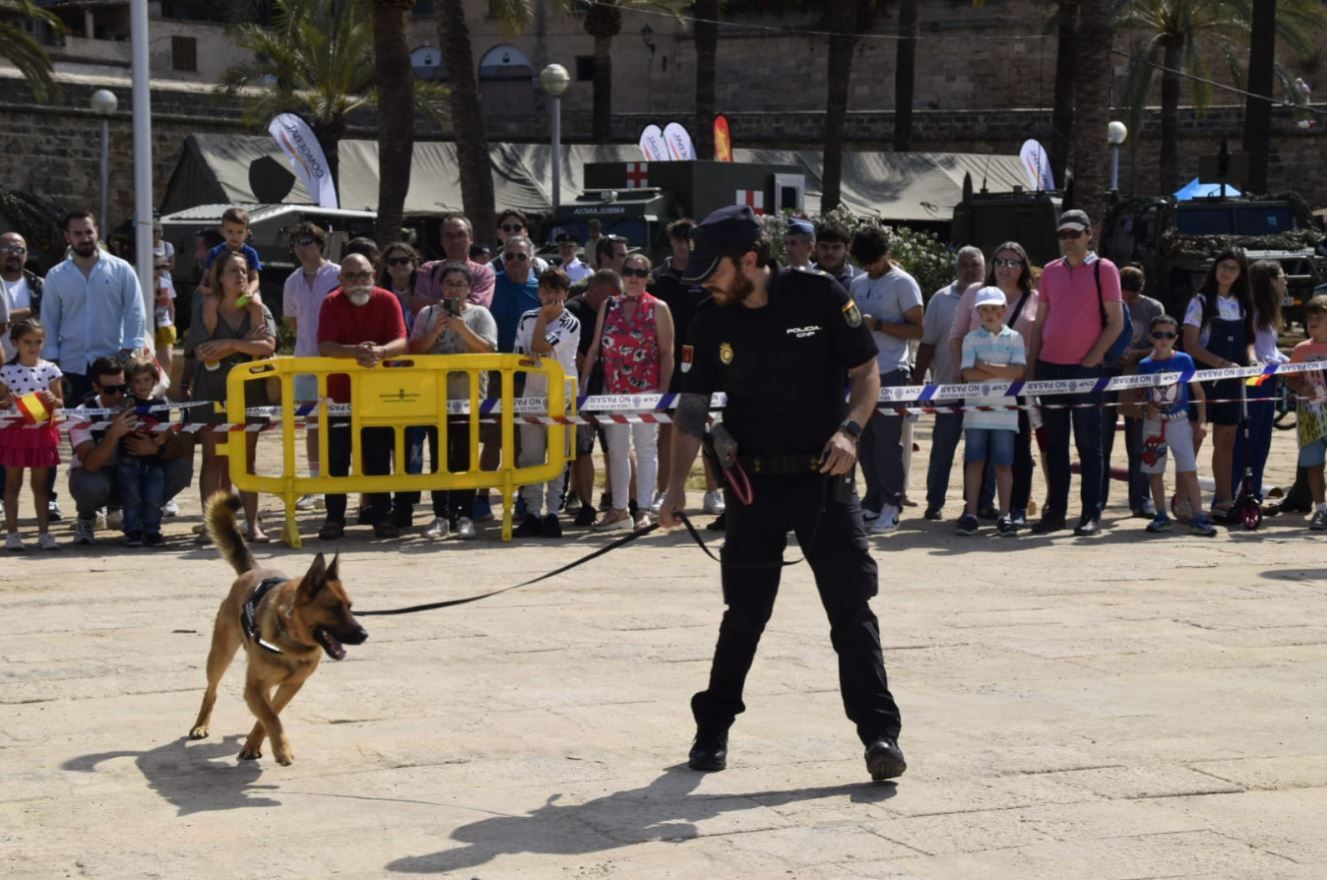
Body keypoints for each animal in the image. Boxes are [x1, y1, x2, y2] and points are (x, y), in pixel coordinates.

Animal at [184, 491, 366, 769]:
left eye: (350, 607)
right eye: (334, 608)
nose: (363, 635)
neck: (290, 639)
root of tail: (253, 570)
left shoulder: (291, 686)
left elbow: (270, 714)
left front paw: (255, 744)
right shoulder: (253, 688)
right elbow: (271, 717)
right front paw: (282, 749)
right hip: (220, 655)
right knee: (211, 691)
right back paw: (201, 725)